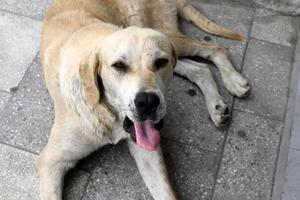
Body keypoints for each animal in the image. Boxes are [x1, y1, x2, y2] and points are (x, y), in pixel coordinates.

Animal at [37, 0, 248, 199]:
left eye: (160, 62)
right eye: (118, 66)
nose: (147, 102)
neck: (108, 113)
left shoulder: (149, 153)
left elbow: (166, 193)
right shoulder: (51, 161)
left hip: (169, 40)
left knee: (215, 48)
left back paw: (233, 80)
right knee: (200, 68)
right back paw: (217, 106)